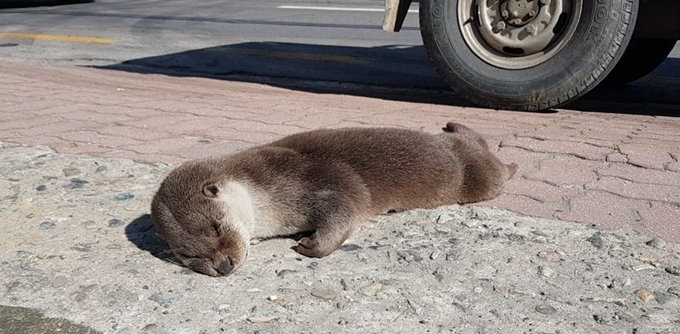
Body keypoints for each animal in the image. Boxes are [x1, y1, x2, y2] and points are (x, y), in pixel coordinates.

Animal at [151, 123, 516, 276]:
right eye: (186, 255)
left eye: (217, 227)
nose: (224, 265)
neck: (261, 188)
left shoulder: (312, 181)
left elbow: (346, 210)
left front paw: (311, 246)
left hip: (480, 178)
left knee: (492, 164)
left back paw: (506, 161)